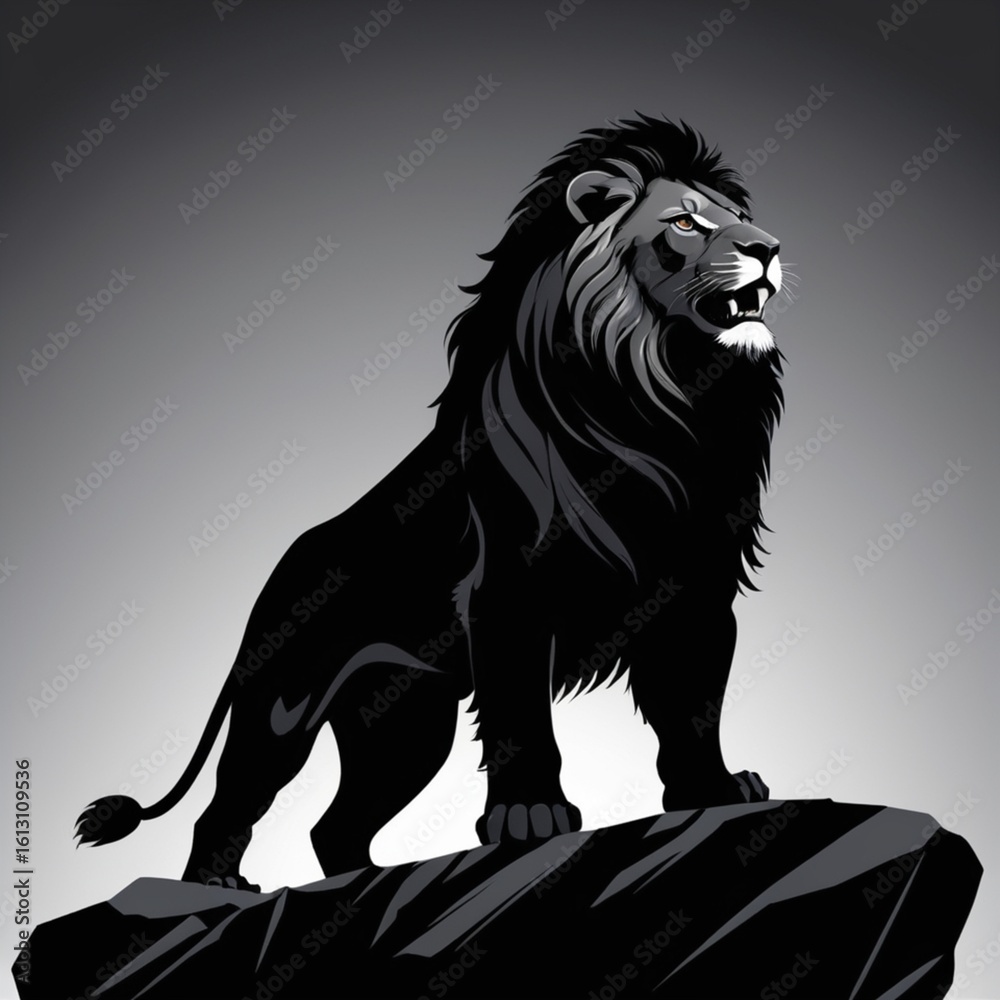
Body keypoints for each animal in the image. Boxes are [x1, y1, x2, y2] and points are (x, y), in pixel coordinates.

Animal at [76, 115, 788, 890]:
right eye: (685, 223)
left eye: (740, 217)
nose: (769, 248)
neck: (668, 401)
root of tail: (280, 571)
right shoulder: (510, 591)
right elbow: (519, 715)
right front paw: (529, 816)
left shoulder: (698, 588)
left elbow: (694, 705)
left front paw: (713, 790)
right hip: (281, 708)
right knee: (232, 801)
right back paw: (218, 886)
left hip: (405, 724)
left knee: (334, 826)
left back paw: (361, 882)